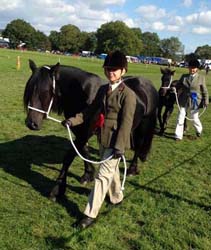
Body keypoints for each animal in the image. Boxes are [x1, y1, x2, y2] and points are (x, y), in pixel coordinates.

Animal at [23, 60, 158, 201]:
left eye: (45, 91)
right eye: (29, 90)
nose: (31, 123)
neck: (81, 94)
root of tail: (148, 84)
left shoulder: (85, 133)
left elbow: (69, 156)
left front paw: (57, 190)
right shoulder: (79, 132)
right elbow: (84, 151)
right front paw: (88, 175)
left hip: (144, 125)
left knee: (138, 146)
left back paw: (132, 169)